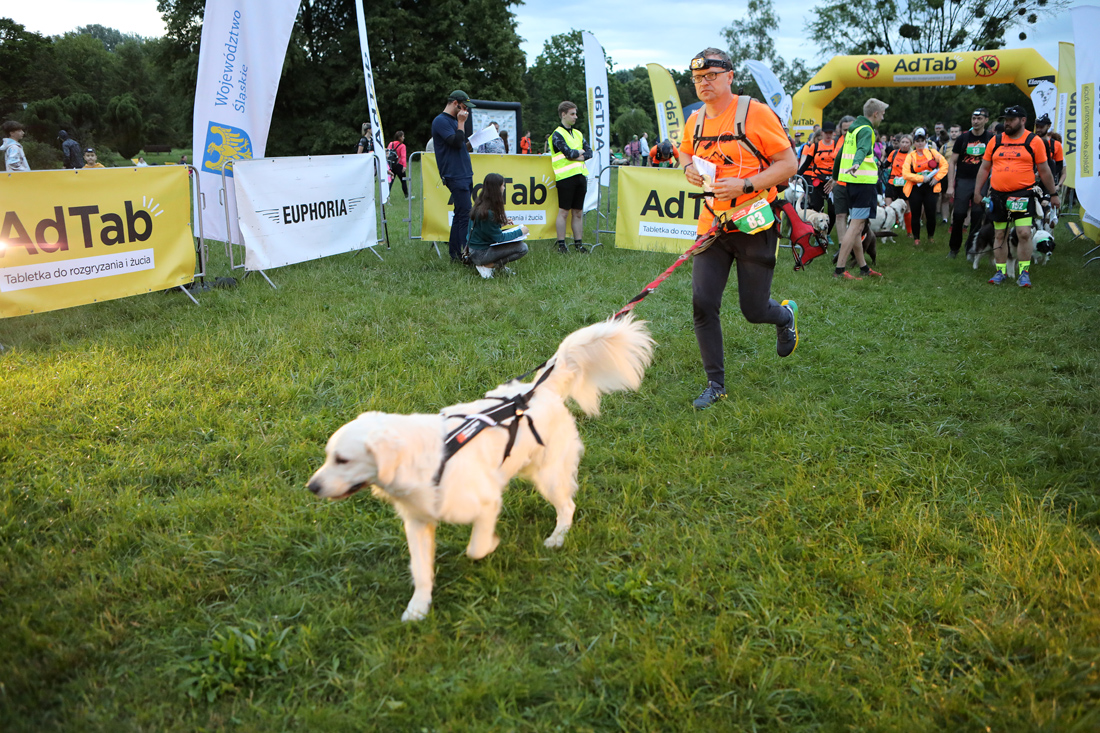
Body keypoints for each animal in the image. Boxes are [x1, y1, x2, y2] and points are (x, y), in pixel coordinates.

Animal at [307, 316, 655, 621]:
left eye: (342, 460)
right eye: (328, 456)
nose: (311, 487)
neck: (434, 459)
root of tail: (537, 389)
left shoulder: (486, 502)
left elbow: (475, 547)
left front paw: (491, 545)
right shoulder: (418, 523)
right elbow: (420, 570)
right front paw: (418, 609)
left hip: (548, 476)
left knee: (567, 506)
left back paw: (557, 538)